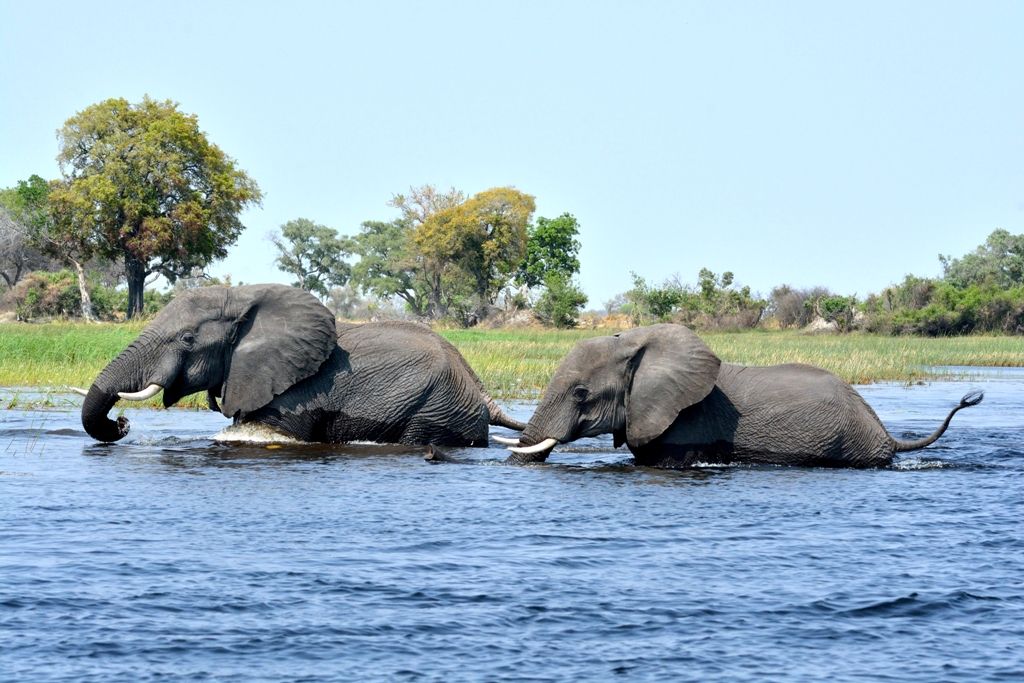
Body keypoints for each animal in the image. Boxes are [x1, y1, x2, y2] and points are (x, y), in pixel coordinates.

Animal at [78, 286, 524, 446]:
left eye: (187, 339)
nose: (123, 423)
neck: (243, 299)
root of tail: (481, 390)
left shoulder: (293, 389)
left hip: (438, 410)